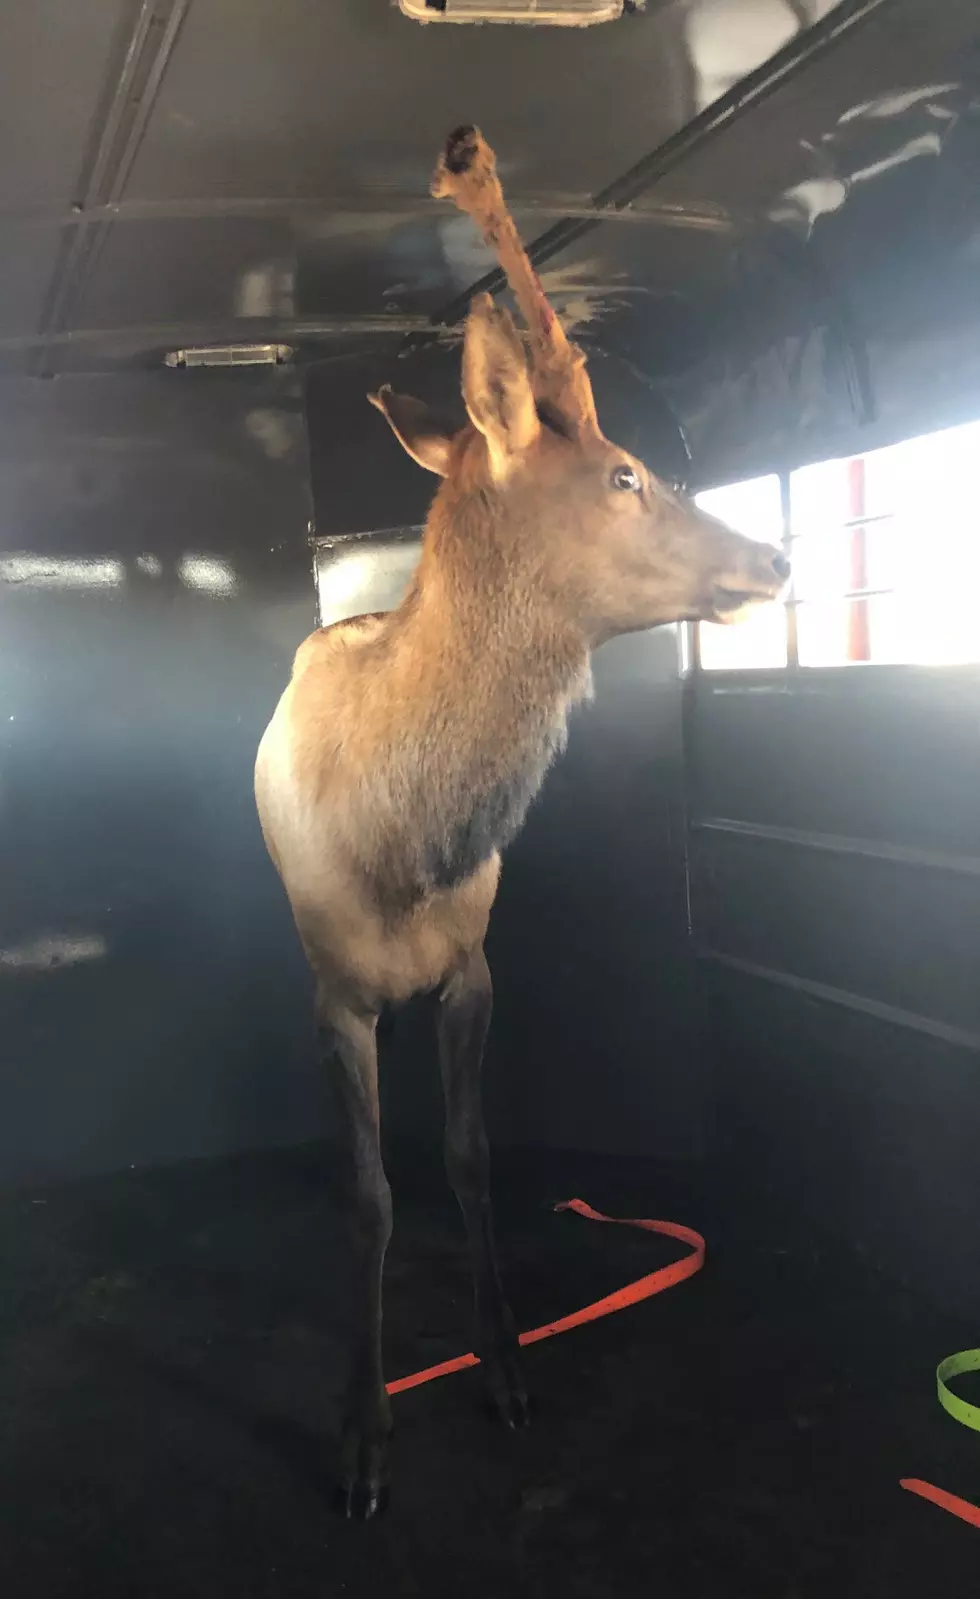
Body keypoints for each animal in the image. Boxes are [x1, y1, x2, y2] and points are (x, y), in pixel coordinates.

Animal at [254, 127, 786, 1522]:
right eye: (623, 472)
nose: (772, 558)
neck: (399, 846)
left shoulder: (473, 968)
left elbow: (474, 1158)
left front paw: (501, 1371)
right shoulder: (334, 991)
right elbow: (369, 1193)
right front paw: (363, 1434)